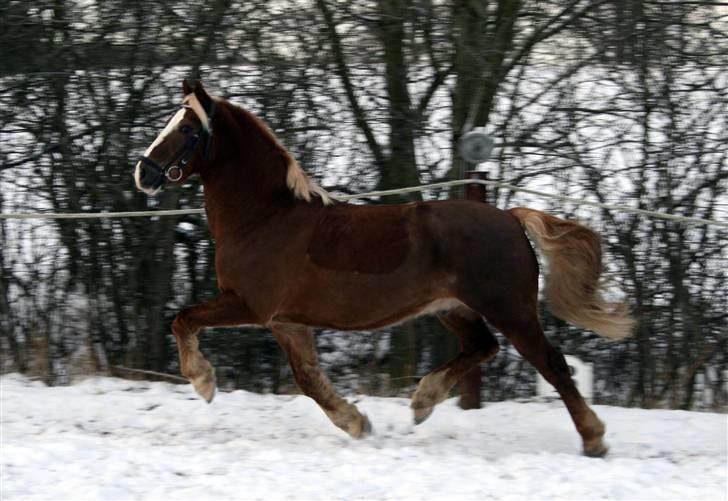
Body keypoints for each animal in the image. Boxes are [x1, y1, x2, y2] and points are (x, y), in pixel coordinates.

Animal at [134, 80, 634, 457]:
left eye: (187, 127)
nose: (144, 173)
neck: (266, 217)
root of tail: (510, 217)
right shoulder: (287, 322)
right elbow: (310, 380)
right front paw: (356, 422)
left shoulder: (250, 306)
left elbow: (183, 319)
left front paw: (202, 381)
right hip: (453, 308)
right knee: (483, 347)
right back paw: (423, 401)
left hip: (510, 310)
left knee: (552, 365)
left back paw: (594, 440)